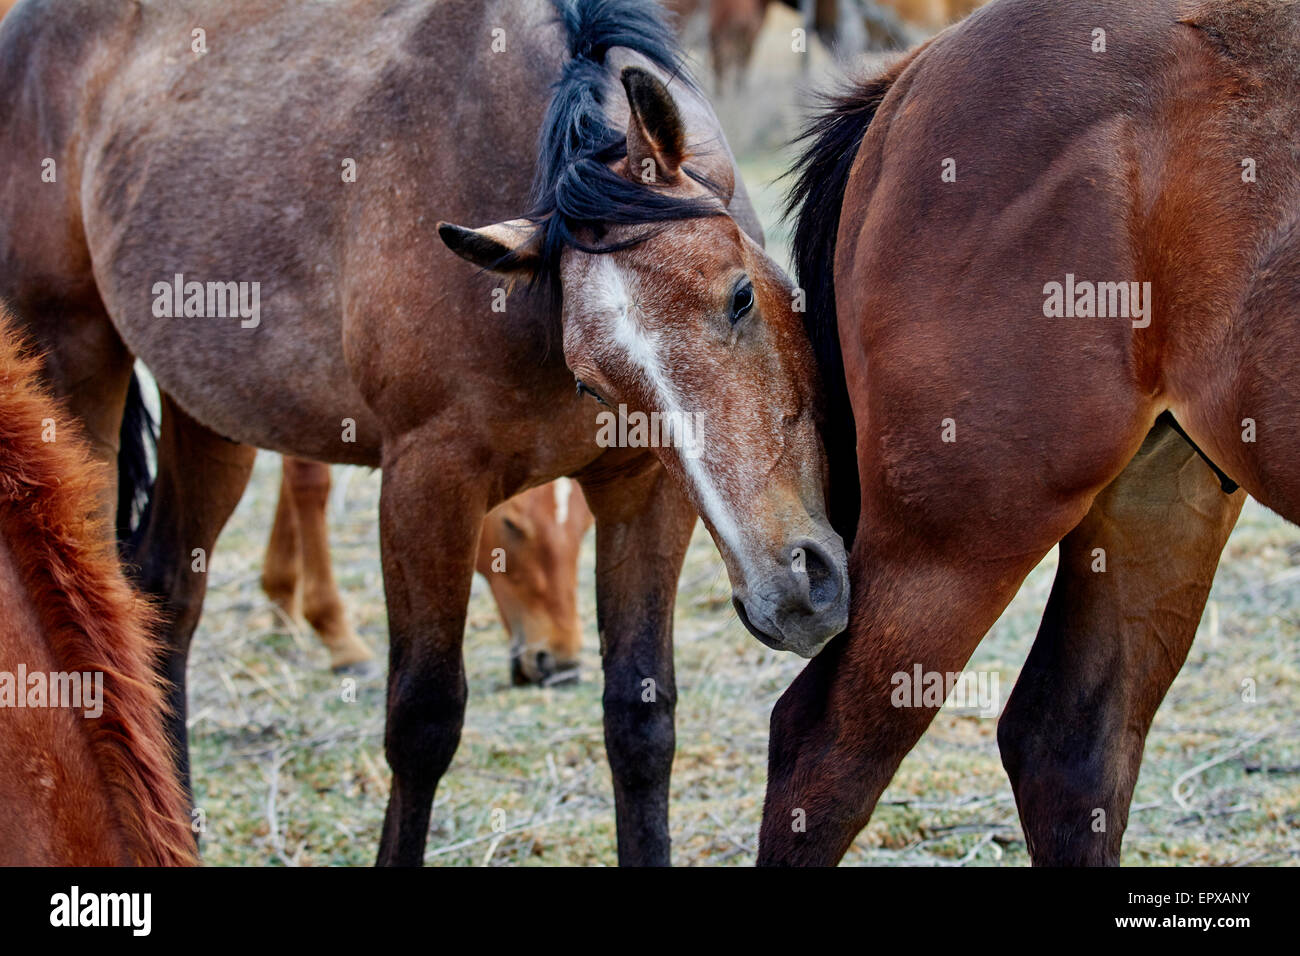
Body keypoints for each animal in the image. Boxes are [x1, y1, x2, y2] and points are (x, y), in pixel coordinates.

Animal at [262, 457, 593, 685]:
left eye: (586, 525)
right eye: (511, 524)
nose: (562, 666)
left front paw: (281, 596)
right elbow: (308, 476)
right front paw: (338, 637)